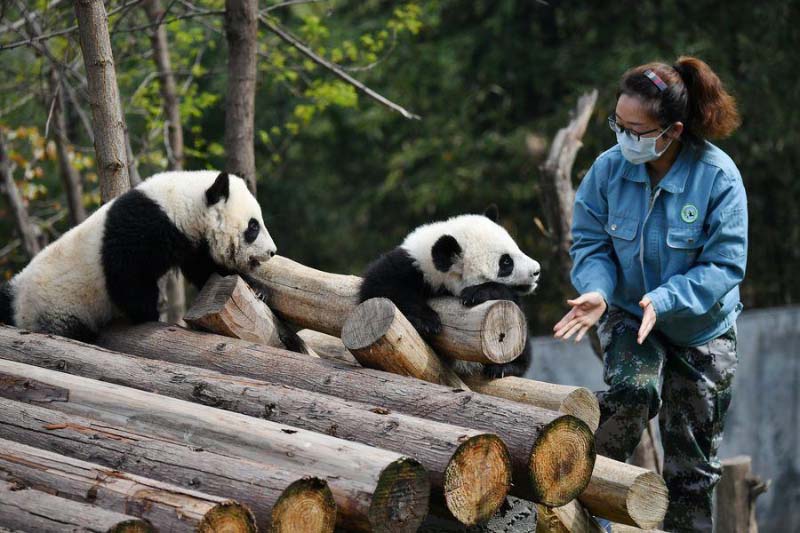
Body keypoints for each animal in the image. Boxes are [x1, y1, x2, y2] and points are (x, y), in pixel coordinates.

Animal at [0, 170, 276, 342]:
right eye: (253, 226)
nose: (272, 251)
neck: (180, 206)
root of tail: (16, 301)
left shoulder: (191, 242)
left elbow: (206, 269)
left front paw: (258, 290)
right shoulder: (142, 226)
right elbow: (126, 275)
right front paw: (148, 313)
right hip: (56, 307)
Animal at [359, 206, 540, 378]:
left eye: (516, 248)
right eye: (506, 262)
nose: (537, 270)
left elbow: (509, 297)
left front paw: (476, 293)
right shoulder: (405, 266)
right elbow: (381, 289)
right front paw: (427, 322)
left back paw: (505, 367)